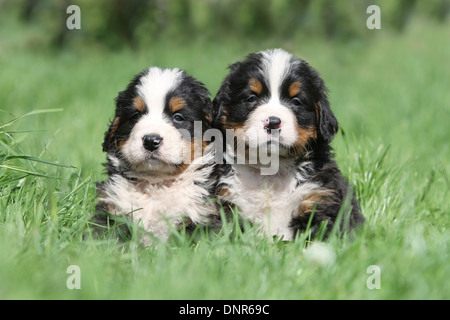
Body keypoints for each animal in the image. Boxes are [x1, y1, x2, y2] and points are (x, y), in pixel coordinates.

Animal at [213, 48, 364, 240]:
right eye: (251, 98)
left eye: (296, 101)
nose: (273, 122)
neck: (270, 170)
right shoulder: (226, 201)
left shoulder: (319, 198)